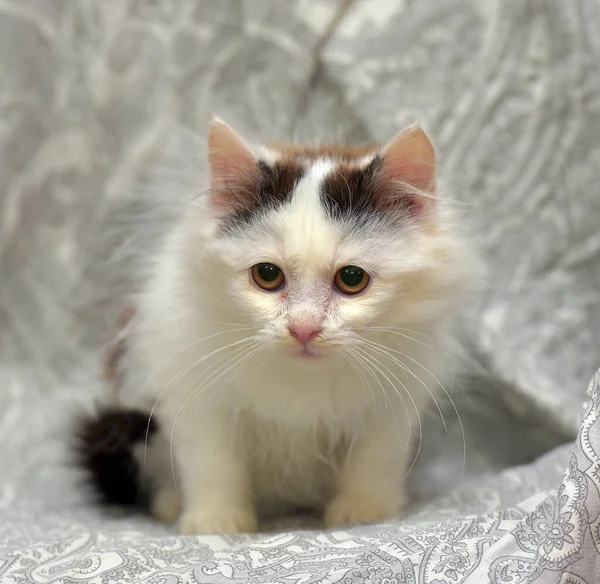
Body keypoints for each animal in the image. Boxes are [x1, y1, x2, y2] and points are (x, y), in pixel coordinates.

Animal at [76, 118, 478, 532]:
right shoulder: (195, 391)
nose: (304, 328)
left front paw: (363, 512)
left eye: (352, 279)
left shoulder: (394, 401)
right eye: (267, 275)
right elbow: (212, 462)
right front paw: (215, 520)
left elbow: (373, 460)